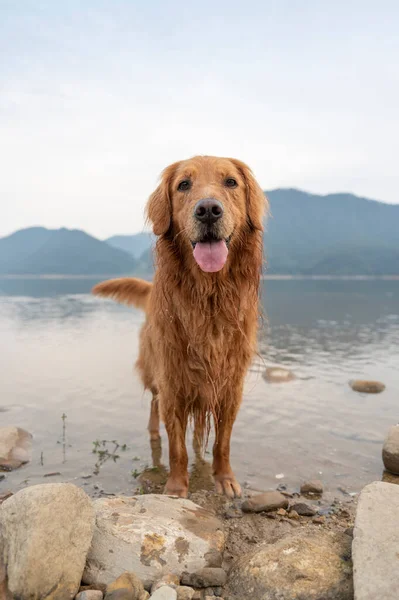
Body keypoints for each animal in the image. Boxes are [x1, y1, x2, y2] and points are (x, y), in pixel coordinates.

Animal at [93, 155, 268, 496]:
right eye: (184, 184)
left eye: (231, 182)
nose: (208, 210)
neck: (208, 297)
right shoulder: (173, 380)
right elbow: (177, 448)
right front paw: (175, 488)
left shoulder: (230, 384)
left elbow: (223, 442)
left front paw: (224, 478)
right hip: (154, 371)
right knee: (153, 406)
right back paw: (153, 434)